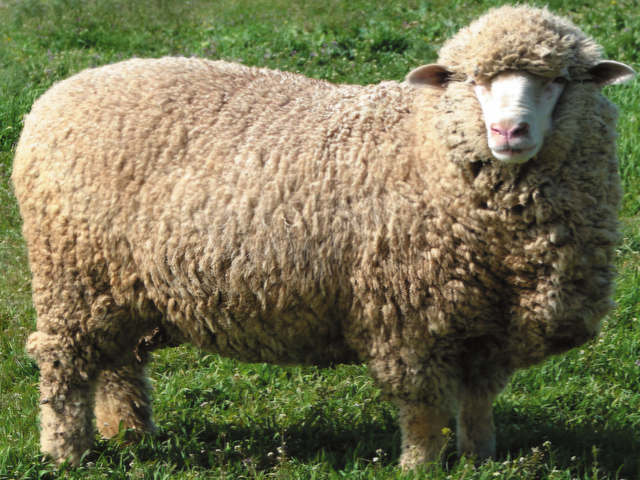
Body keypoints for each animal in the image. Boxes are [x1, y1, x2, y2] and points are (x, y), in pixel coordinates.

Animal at [12, 5, 636, 468]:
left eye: (558, 81)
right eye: (475, 83)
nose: (508, 131)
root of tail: (56, 95)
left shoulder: (487, 325)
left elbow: (478, 403)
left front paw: (481, 457)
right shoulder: (407, 318)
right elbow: (423, 409)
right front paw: (422, 466)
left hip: (120, 285)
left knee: (118, 361)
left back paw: (129, 433)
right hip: (71, 271)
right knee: (64, 362)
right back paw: (65, 451)